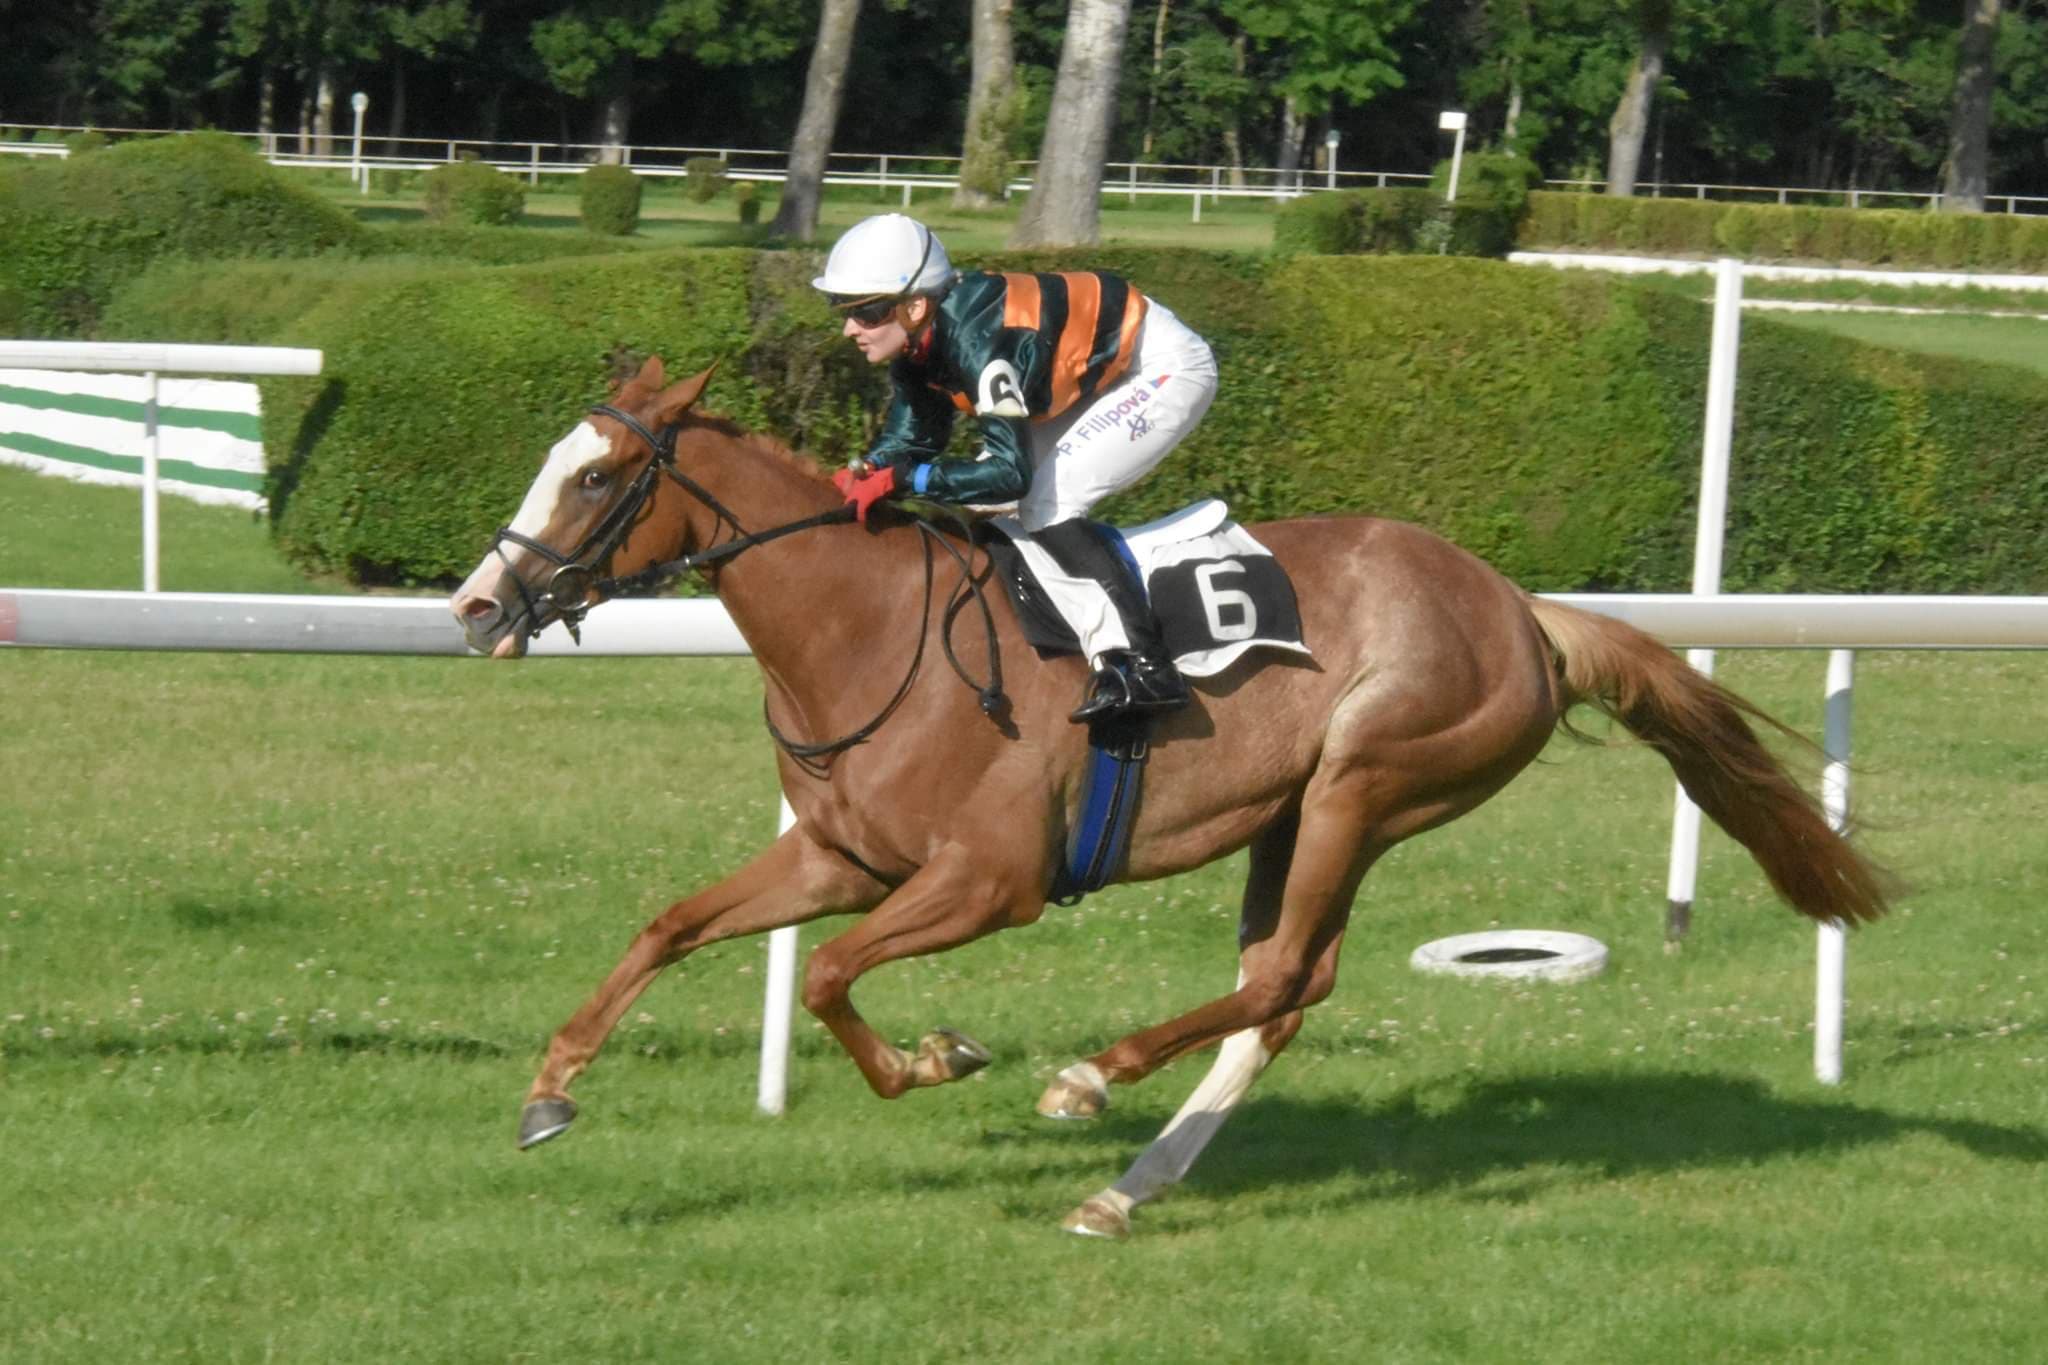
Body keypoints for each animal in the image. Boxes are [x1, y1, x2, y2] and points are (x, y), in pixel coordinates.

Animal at [448, 358, 1884, 1244]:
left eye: (593, 478)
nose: (473, 606)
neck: (869, 633)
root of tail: (1524, 610)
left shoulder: (989, 883)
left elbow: (827, 977)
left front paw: (938, 1057)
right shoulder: (841, 862)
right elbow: (672, 925)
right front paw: (549, 1094)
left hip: (1369, 779)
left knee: (1281, 979)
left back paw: (1093, 1082)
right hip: (1296, 819)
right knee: (1285, 995)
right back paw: (1120, 1194)